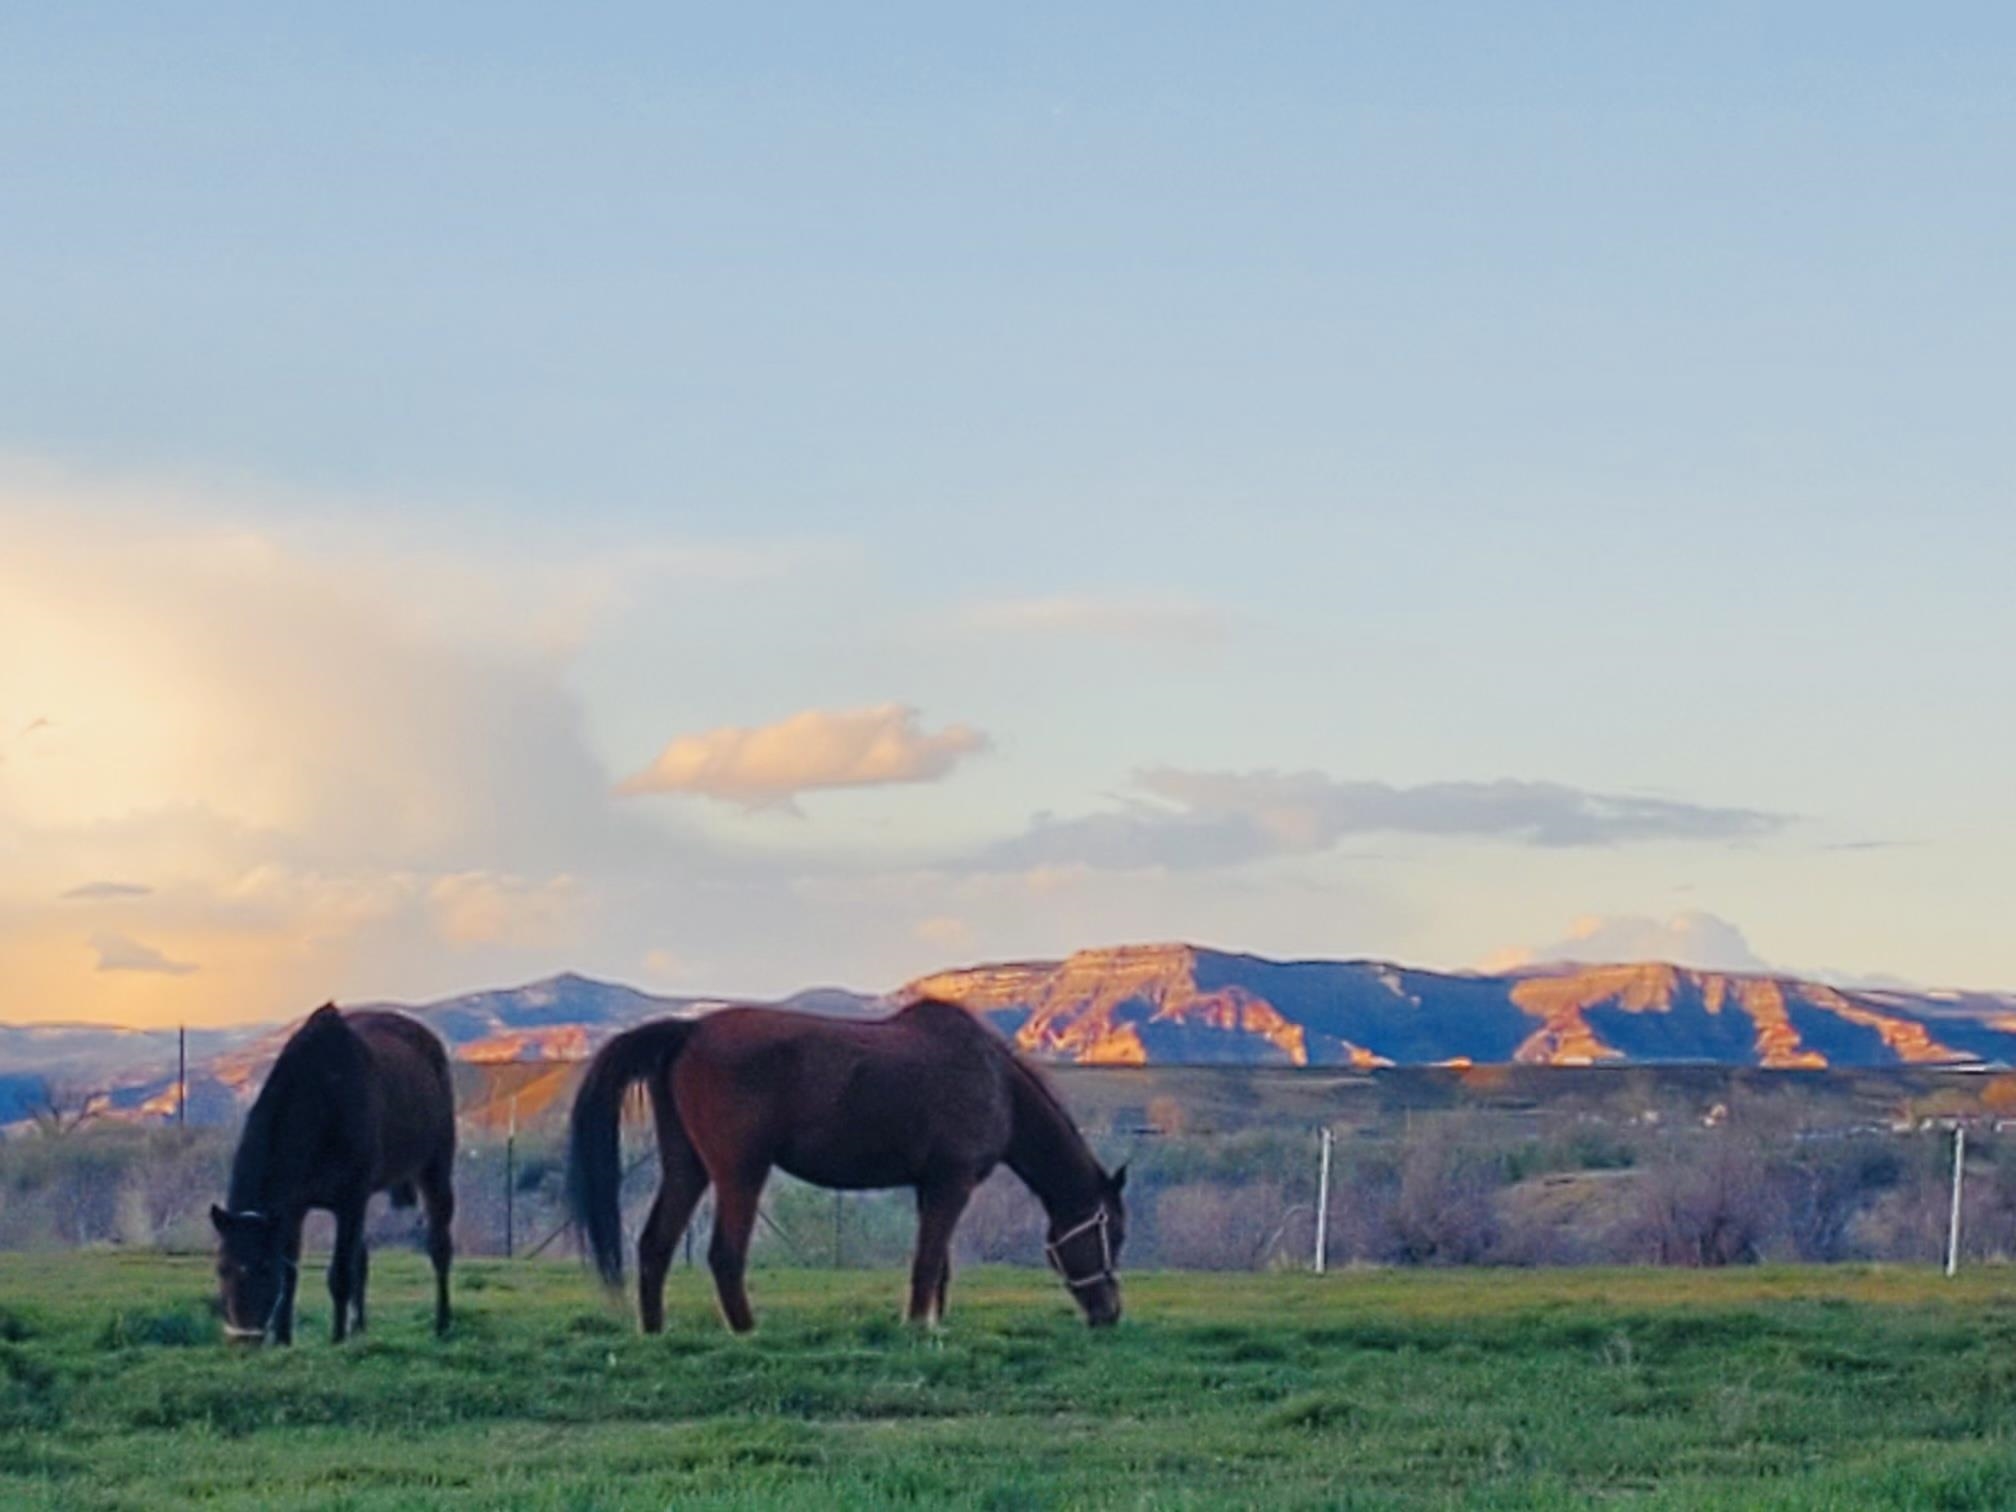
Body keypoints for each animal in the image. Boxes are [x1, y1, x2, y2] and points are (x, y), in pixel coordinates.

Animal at [216, 1008, 461, 1346]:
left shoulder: (350, 1200)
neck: (322, 1097)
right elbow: (292, 1273)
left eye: (264, 1268)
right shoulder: (294, 1208)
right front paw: (284, 1339)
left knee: (439, 1248)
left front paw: (336, 1339)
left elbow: (340, 1275)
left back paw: (442, 1323)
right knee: (363, 1259)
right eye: (221, 1268)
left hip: (435, 1170)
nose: (243, 1339)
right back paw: (359, 1326)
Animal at [572, 1008, 1137, 1338]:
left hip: (687, 1169)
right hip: (740, 1173)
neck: (994, 1079)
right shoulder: (951, 1183)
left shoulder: (931, 1187)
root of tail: (689, 1030)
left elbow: (939, 1264)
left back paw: (655, 1332)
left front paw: (933, 1322)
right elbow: (927, 1262)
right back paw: (747, 1331)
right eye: (1113, 1232)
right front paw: (917, 1326)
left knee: (655, 1245)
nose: (1109, 1313)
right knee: (724, 1256)